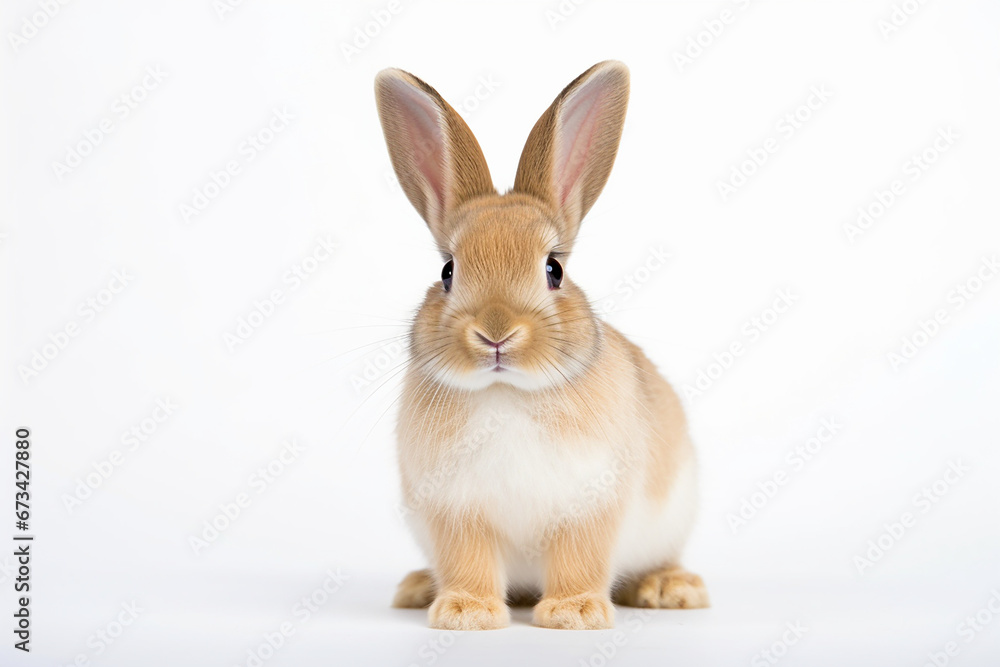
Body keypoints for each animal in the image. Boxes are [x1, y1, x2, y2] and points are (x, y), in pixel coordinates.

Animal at [375, 60, 708, 630]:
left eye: (554, 269)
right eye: (447, 271)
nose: (496, 332)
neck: (506, 392)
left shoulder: (591, 504)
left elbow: (579, 559)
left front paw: (573, 613)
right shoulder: (456, 513)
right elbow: (468, 562)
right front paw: (466, 613)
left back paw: (672, 588)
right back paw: (417, 587)